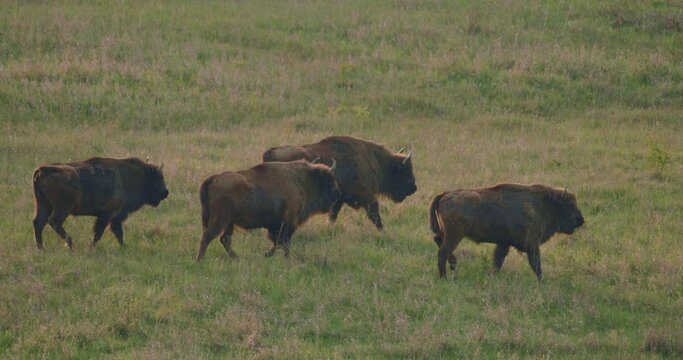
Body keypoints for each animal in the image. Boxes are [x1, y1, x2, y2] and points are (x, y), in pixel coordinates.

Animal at [32, 158, 170, 250]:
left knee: (39, 222)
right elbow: (99, 233)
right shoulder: (107, 215)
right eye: (159, 178)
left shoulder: (115, 217)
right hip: (63, 208)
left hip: (43, 204)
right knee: (53, 221)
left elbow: (118, 233)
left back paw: (41, 248)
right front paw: (90, 248)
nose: (166, 192)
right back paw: (70, 244)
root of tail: (42, 170)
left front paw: (124, 247)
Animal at [195, 159, 340, 260]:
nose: (337, 193)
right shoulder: (288, 221)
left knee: (225, 239)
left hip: (230, 222)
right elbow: (283, 241)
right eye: (329, 180)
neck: (303, 181)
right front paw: (279, 257)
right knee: (208, 236)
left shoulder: (277, 225)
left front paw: (270, 255)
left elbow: (279, 242)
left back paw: (236, 258)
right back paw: (200, 260)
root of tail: (215, 178)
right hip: (221, 219)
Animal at [264, 135, 416, 231]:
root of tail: (269, 154)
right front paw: (382, 231)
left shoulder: (339, 199)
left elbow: (333, 215)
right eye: (405, 170)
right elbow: (374, 213)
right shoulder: (366, 196)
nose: (413, 188)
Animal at [430, 183, 584, 282]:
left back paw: (451, 265)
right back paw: (444, 277)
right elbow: (536, 264)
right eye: (569, 205)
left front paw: (491, 277)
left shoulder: (504, 244)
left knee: (438, 241)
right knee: (442, 252)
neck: (545, 204)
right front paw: (542, 281)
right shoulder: (532, 244)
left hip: (447, 233)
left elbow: (498, 261)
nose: (581, 220)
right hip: (455, 236)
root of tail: (445, 194)